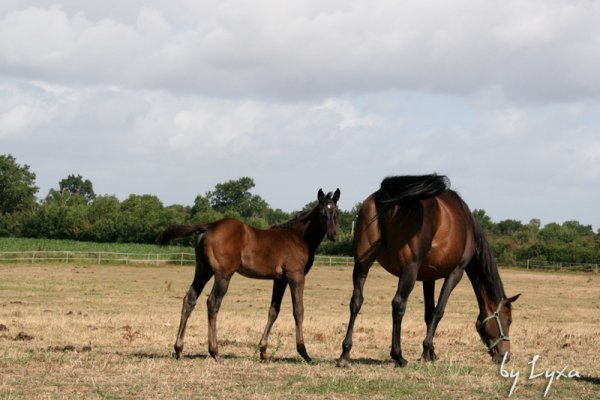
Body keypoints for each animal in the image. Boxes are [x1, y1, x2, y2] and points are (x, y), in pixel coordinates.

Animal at [157, 188, 340, 362]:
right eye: (322, 213)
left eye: (336, 212)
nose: (333, 235)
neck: (298, 238)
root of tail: (209, 225)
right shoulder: (296, 276)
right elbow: (298, 311)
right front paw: (304, 353)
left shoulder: (279, 280)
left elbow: (273, 311)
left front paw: (263, 352)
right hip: (223, 274)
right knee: (213, 302)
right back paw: (215, 352)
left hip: (203, 270)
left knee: (189, 299)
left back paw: (179, 349)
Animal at [338, 175, 520, 368]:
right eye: (508, 320)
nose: (505, 356)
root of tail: (388, 194)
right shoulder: (456, 272)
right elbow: (438, 310)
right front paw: (426, 351)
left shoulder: (428, 277)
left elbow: (428, 312)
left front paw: (431, 352)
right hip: (409, 270)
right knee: (398, 304)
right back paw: (398, 356)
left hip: (362, 265)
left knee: (356, 301)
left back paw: (345, 352)